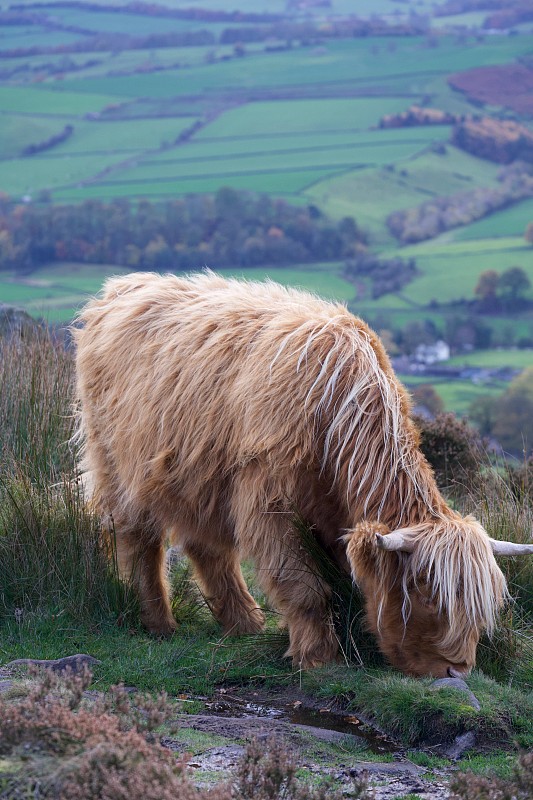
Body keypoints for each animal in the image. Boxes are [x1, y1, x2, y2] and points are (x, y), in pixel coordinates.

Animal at [74, 274, 532, 676]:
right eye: (427, 595)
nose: (457, 670)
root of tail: (121, 287)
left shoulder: (331, 514)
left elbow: (341, 581)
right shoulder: (269, 499)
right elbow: (306, 586)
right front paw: (316, 657)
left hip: (200, 473)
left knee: (207, 545)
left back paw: (245, 623)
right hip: (116, 459)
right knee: (137, 536)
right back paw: (158, 622)